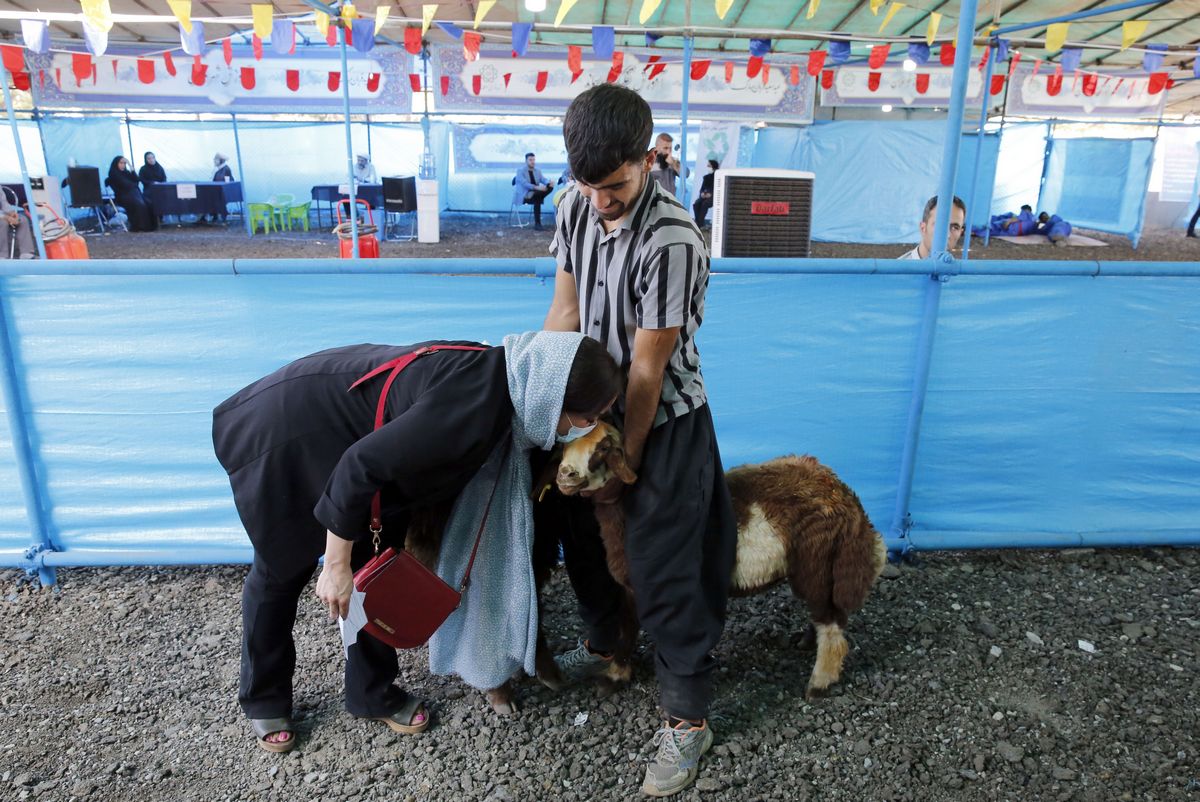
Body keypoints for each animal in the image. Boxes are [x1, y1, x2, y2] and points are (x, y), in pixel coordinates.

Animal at [556, 422, 888, 696]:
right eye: (563, 445)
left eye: (603, 448)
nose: (565, 474)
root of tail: (845, 496)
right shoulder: (628, 586)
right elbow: (626, 626)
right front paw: (616, 674)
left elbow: (629, 629)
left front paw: (614, 679)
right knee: (826, 613)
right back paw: (807, 642)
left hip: (817, 560)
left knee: (831, 620)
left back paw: (820, 683)